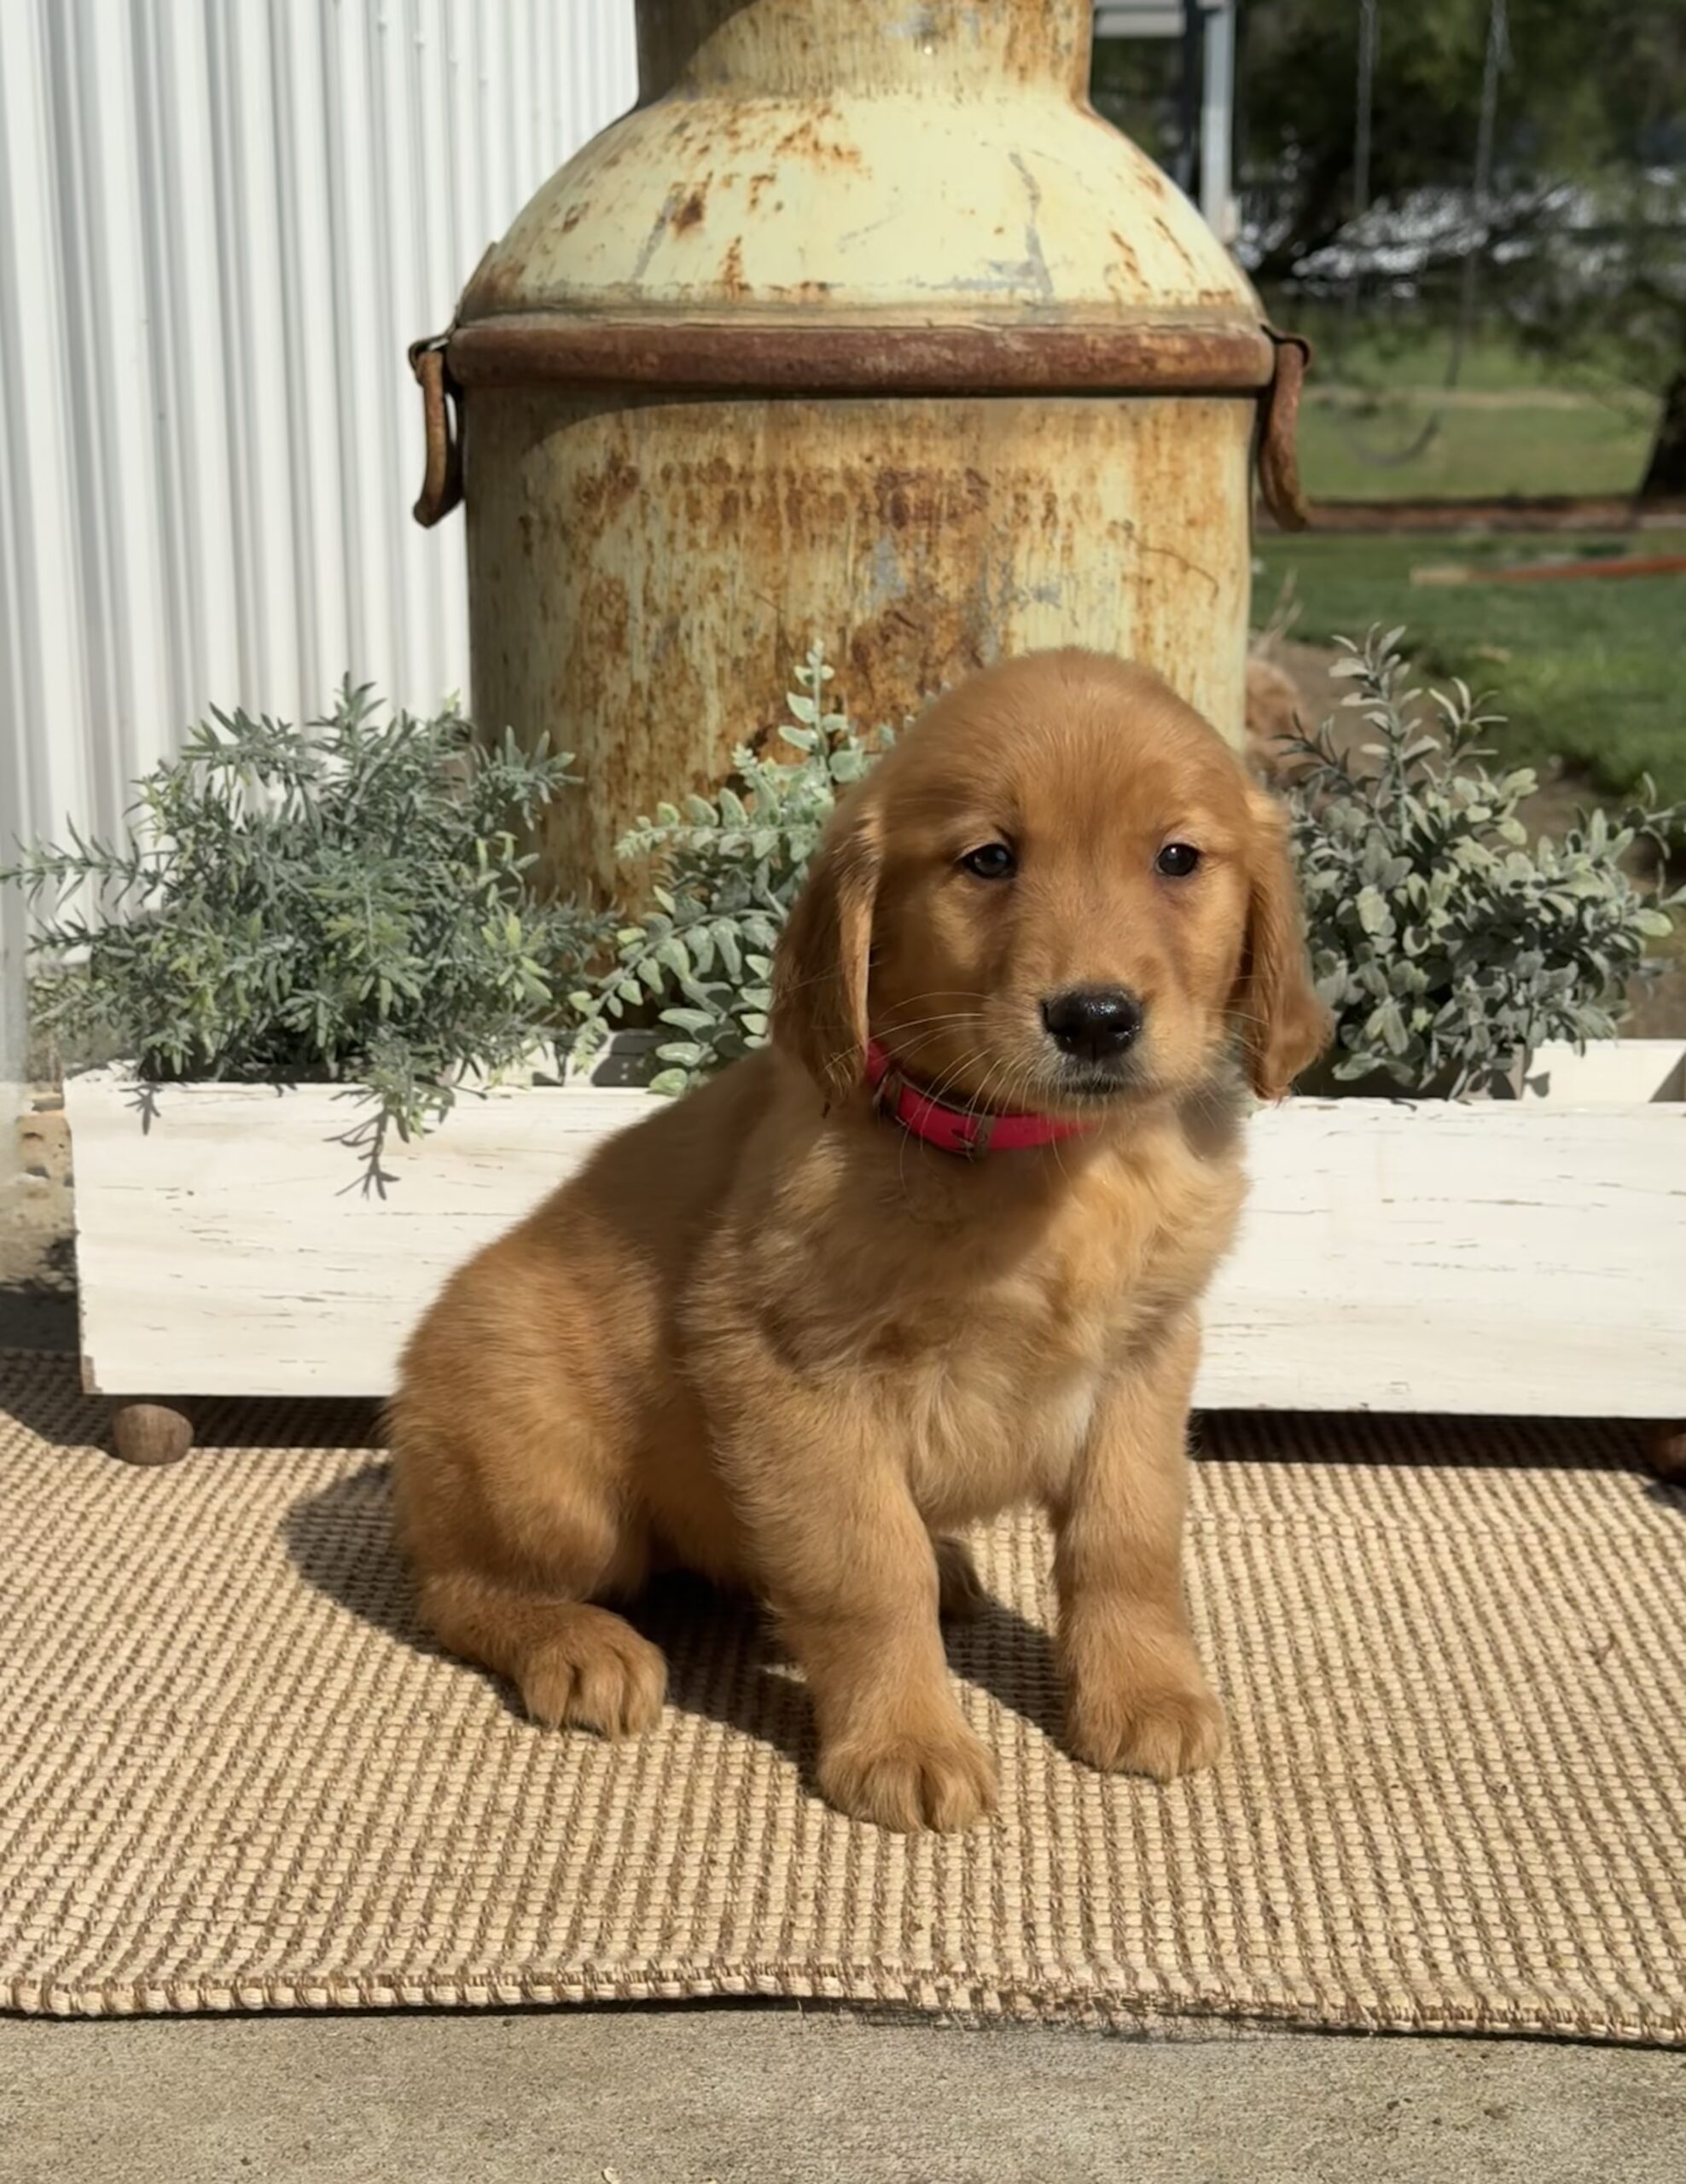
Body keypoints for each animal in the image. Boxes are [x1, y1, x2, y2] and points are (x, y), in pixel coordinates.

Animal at [390, 651, 1329, 1831]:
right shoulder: (788, 1369)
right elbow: (866, 1571)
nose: (1093, 1018)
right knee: (453, 1584)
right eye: (988, 859)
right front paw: (905, 1740)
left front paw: (1145, 1691)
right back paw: (573, 1644)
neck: (1040, 1164)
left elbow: (1129, 1538)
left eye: (1176, 858)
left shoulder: (1145, 1359)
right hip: (551, 1476)